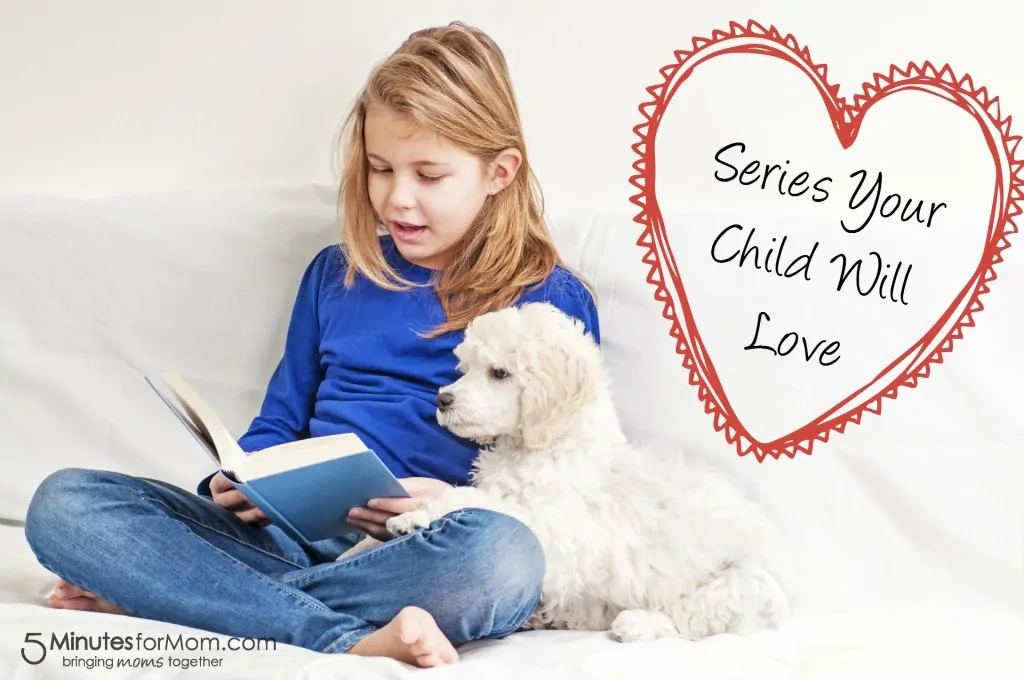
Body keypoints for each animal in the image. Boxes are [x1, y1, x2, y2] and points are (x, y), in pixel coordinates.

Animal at [382, 303, 790, 643]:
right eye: (464, 370)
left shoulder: (558, 533)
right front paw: (413, 514)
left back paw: (636, 624)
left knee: (689, 619)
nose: (442, 399)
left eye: (498, 373)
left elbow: (478, 500)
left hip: (737, 586)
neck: (549, 444)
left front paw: (412, 515)